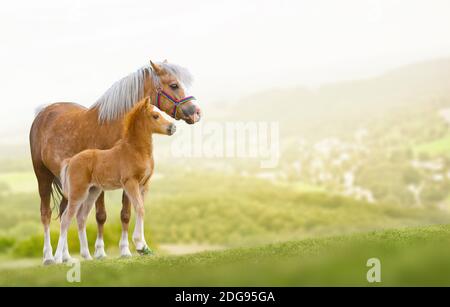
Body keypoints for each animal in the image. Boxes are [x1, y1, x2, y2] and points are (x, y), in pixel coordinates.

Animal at [54, 97, 176, 264]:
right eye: (155, 116)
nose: (172, 127)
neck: (135, 150)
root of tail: (71, 160)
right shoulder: (130, 183)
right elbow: (139, 209)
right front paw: (139, 245)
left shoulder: (144, 185)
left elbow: (141, 209)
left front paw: (145, 248)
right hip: (78, 192)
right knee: (66, 219)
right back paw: (58, 258)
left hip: (93, 191)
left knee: (81, 217)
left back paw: (87, 256)